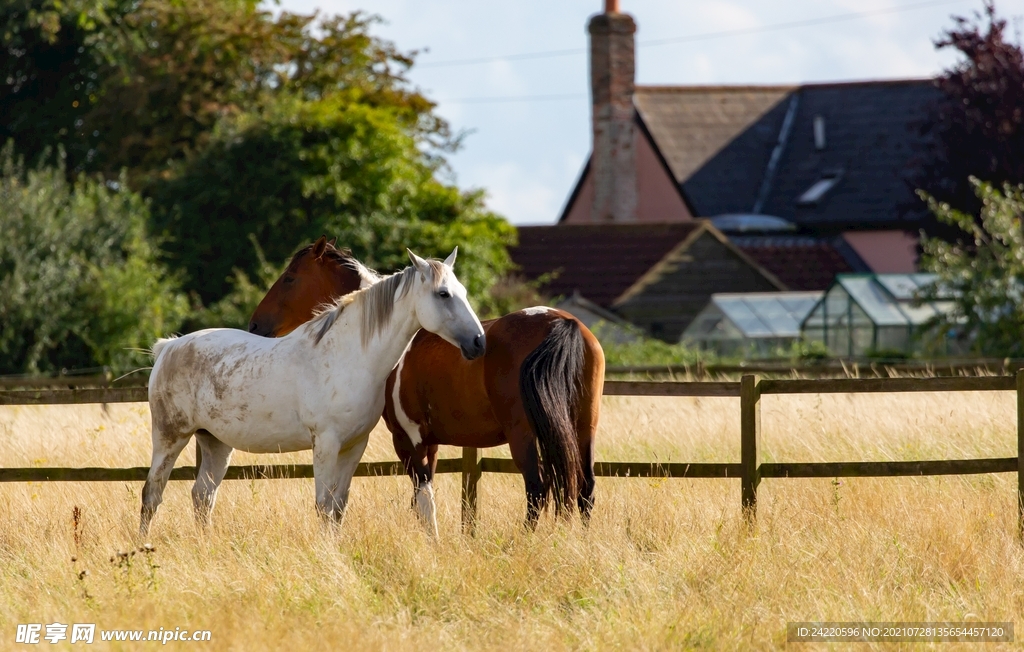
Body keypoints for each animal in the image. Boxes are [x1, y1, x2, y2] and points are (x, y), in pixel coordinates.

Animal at [141, 249, 485, 535]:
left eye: (463, 293)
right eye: (443, 294)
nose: (478, 342)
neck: (349, 355)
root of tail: (169, 347)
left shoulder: (354, 446)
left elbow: (339, 508)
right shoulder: (326, 444)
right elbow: (323, 506)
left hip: (215, 443)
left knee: (202, 495)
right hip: (170, 437)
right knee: (152, 493)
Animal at [249, 245, 605, 535]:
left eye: (290, 278)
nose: (255, 324)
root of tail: (563, 323)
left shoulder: (408, 439)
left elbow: (423, 498)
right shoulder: (430, 442)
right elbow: (422, 500)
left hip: (524, 434)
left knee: (537, 489)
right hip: (583, 427)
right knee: (584, 488)